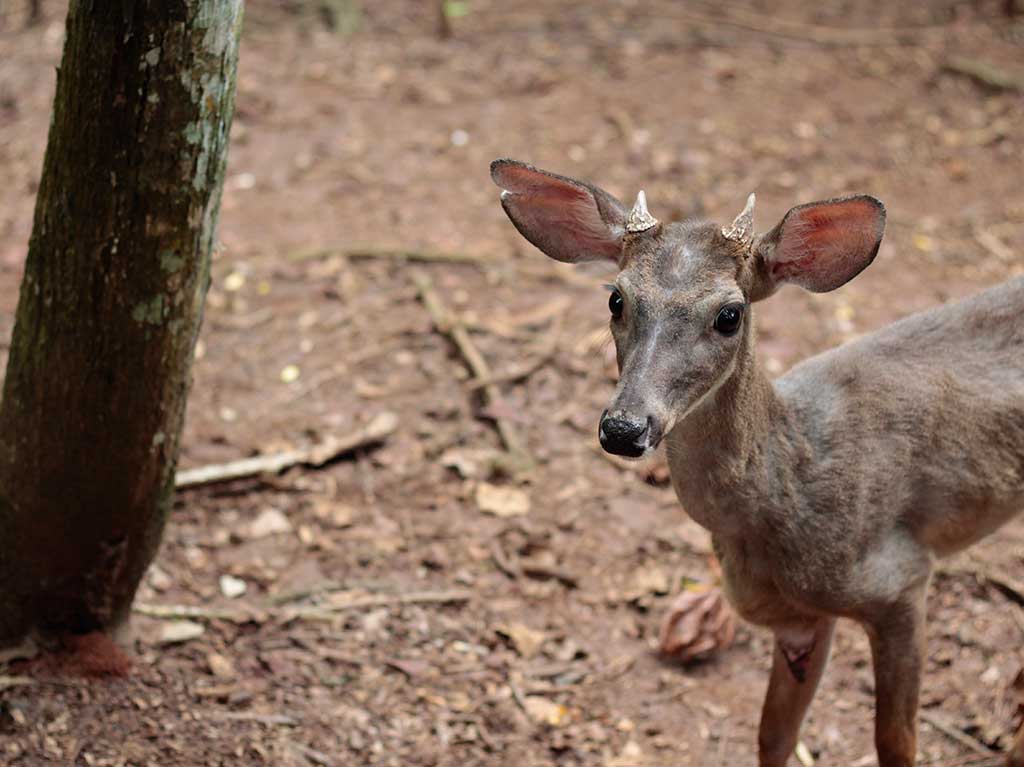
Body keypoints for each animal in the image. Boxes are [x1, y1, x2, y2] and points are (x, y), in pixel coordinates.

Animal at [491, 156, 1024, 765]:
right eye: (616, 299)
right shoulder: (798, 620)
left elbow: (896, 742)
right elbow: (773, 736)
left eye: (730, 314)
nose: (624, 428)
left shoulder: (901, 580)